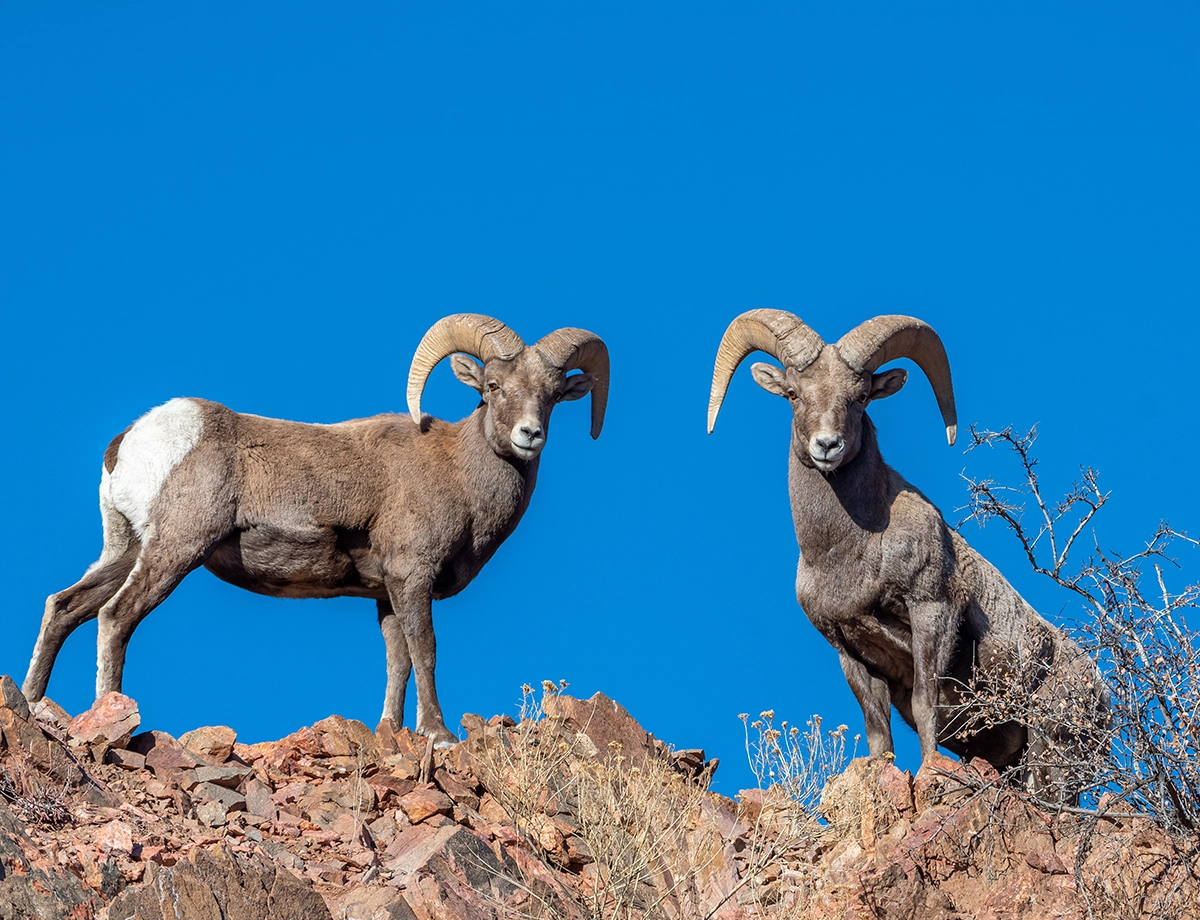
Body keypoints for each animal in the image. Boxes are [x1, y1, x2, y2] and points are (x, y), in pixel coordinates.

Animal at [25, 311, 609, 743]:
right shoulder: (412, 576)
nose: (529, 435)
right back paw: (112, 717)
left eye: (552, 394)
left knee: (65, 607)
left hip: (126, 548)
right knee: (115, 616)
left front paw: (391, 731)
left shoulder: (385, 593)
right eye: (492, 385)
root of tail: (132, 439)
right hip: (175, 549)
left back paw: (32, 702)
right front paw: (439, 735)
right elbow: (425, 650)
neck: (458, 475)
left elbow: (397, 660)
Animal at [705, 309, 1108, 786]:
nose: (827, 446)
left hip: (1052, 752)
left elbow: (923, 702)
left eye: (861, 397)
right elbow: (878, 732)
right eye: (792, 394)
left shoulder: (930, 612)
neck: (850, 552)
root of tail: (1103, 696)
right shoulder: (851, 651)